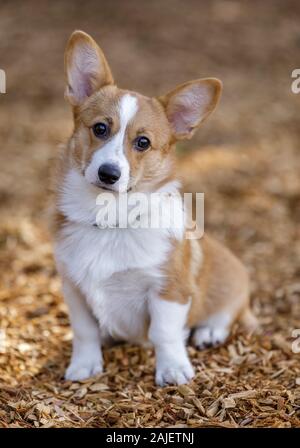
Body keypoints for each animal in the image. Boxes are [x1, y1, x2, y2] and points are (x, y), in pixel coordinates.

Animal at [51, 30, 255, 384]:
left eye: (143, 142)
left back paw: (210, 332)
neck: (109, 219)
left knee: (229, 313)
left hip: (232, 285)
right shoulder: (73, 288)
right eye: (100, 128)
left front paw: (173, 369)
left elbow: (165, 333)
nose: (109, 174)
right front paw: (84, 366)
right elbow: (84, 331)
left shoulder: (168, 289)